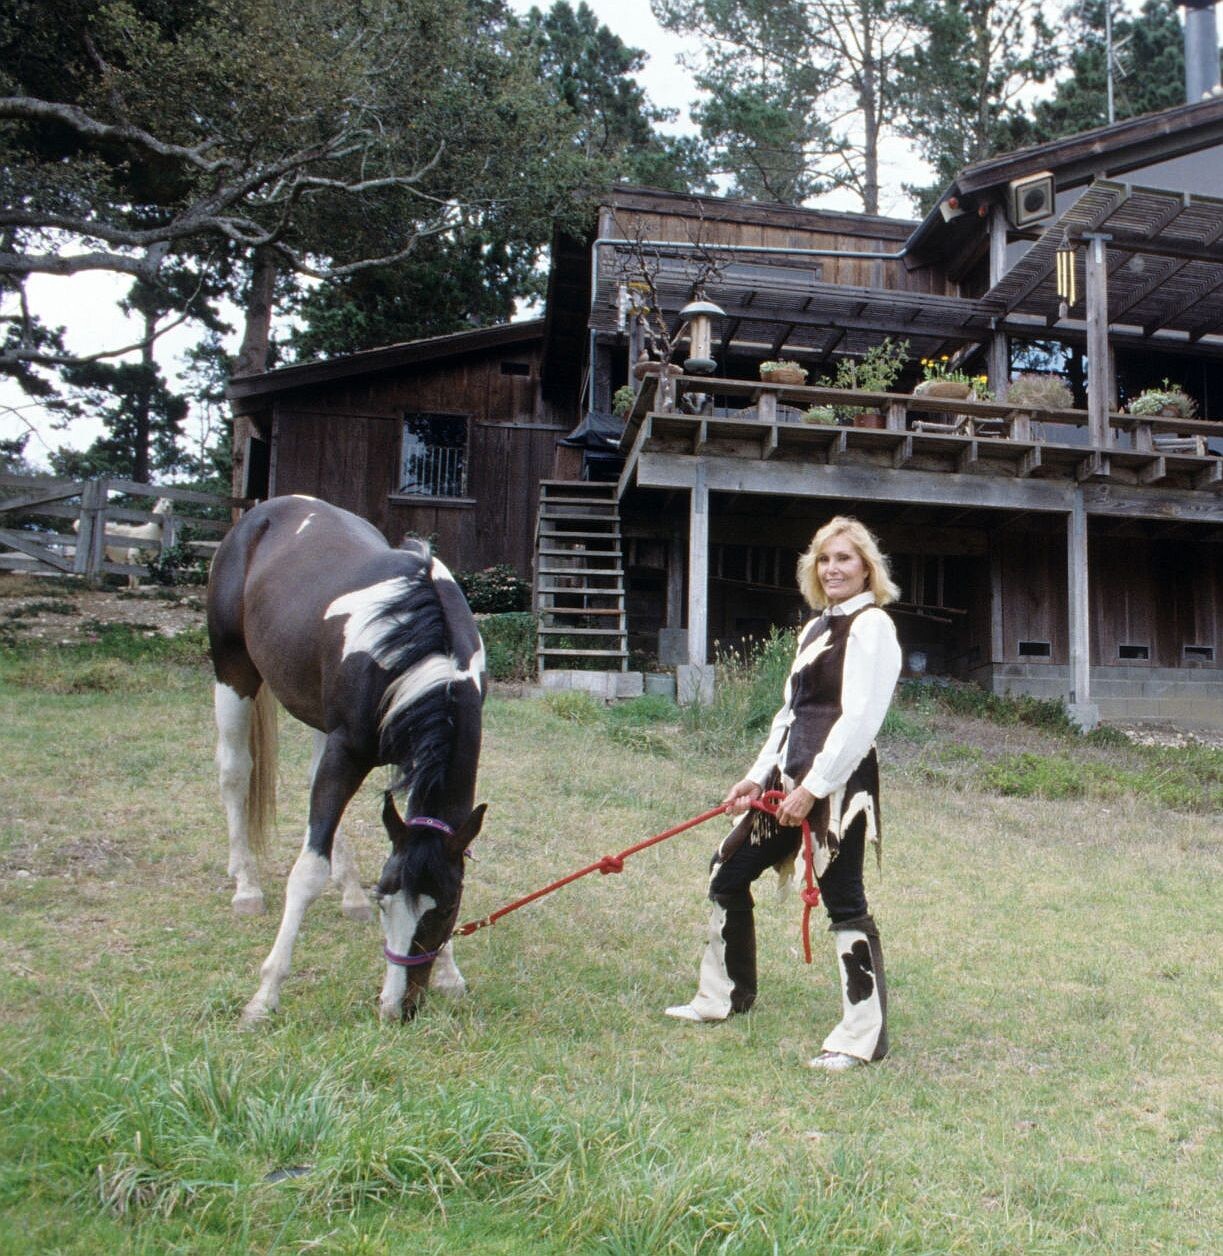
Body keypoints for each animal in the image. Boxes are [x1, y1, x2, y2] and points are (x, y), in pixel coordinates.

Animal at [206, 495, 487, 1024]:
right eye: (385, 902)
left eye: (445, 909)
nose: (398, 1008)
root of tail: (264, 512)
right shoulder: (346, 751)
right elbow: (307, 871)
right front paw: (266, 994)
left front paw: (450, 975)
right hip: (233, 672)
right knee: (235, 773)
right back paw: (246, 884)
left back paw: (343, 890)